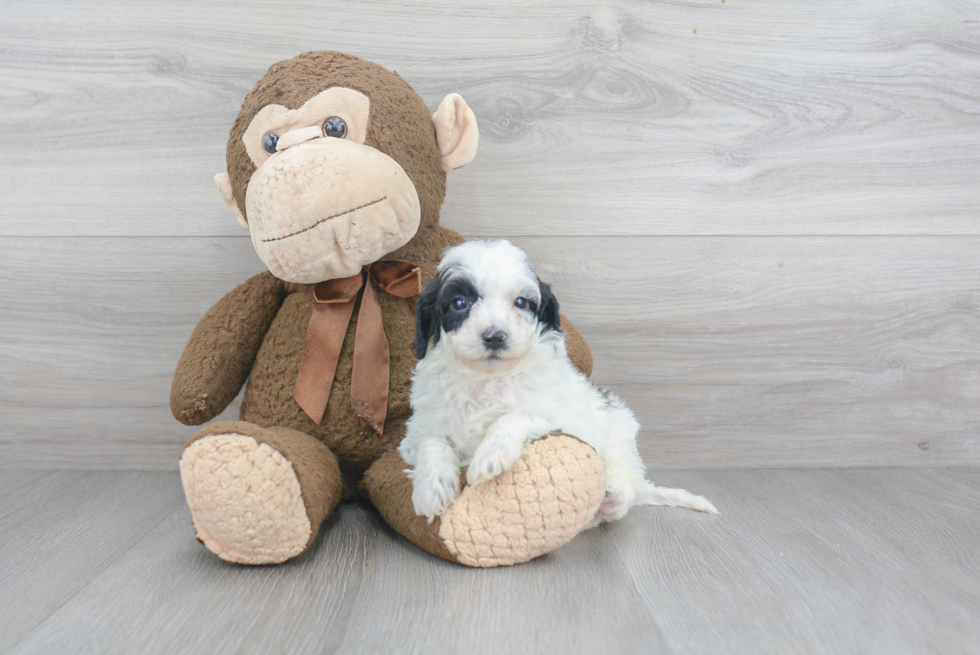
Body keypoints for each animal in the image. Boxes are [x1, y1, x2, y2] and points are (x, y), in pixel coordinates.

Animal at [394, 240, 716, 524]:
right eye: (459, 303)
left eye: (521, 302)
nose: (495, 336)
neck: (486, 379)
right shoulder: (419, 428)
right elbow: (432, 443)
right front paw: (432, 488)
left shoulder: (556, 413)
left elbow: (515, 416)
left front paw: (490, 455)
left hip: (618, 436)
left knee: (627, 488)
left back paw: (612, 497)